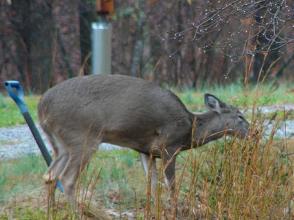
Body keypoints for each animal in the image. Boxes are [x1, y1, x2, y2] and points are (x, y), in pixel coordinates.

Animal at [38, 74, 249, 208]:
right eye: (240, 116)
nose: (251, 132)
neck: (190, 130)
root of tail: (42, 107)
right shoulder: (169, 145)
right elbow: (171, 186)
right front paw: (175, 211)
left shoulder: (147, 151)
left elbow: (153, 186)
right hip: (83, 136)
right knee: (66, 179)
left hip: (61, 144)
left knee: (50, 176)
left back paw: (52, 212)